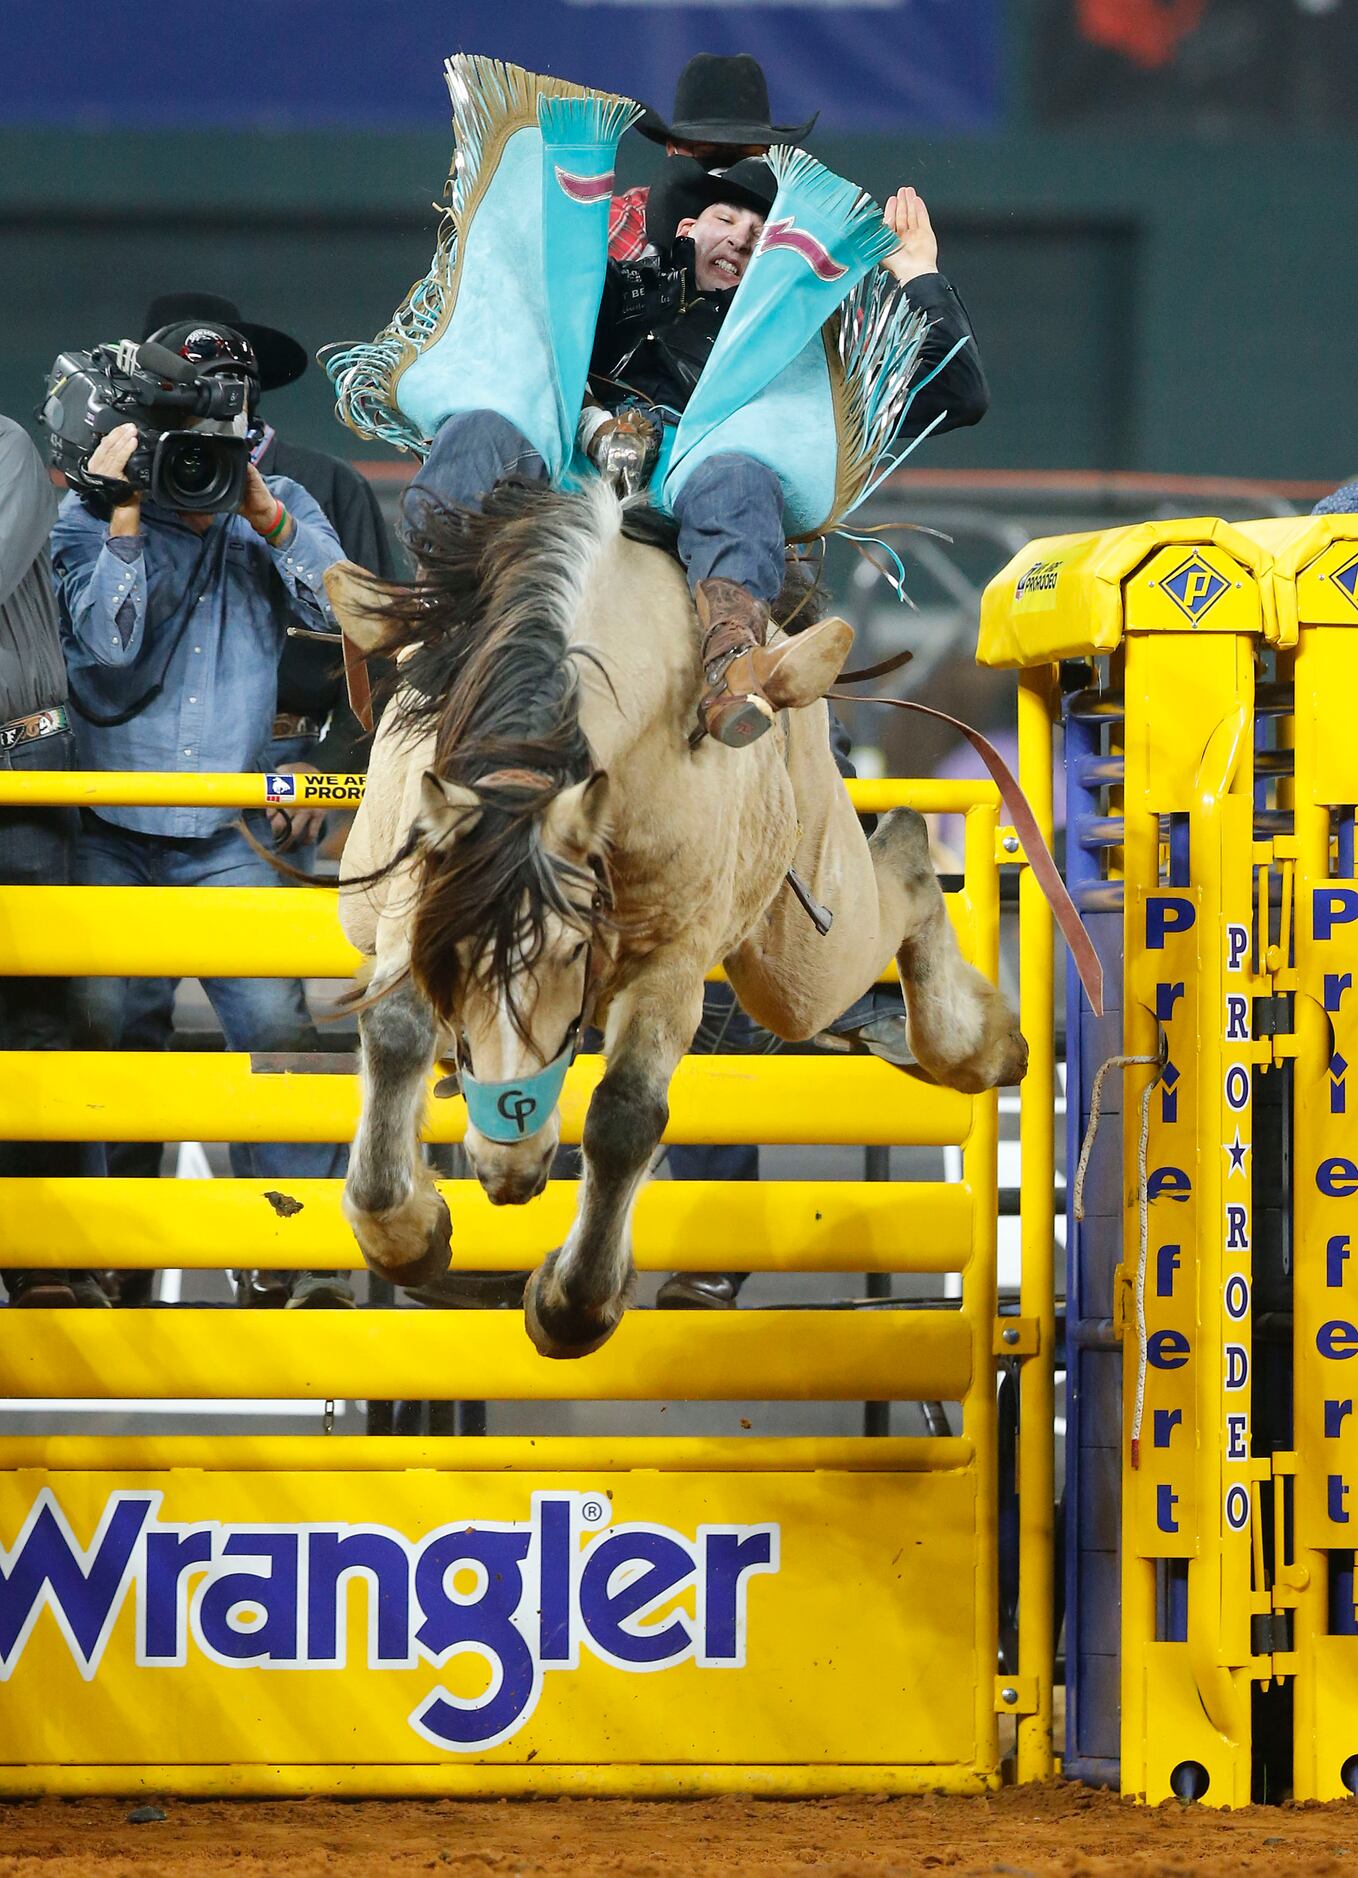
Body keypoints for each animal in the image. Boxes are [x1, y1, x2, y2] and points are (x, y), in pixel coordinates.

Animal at [328, 477, 1029, 1359]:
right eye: (454, 959)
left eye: (576, 951)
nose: (509, 1161)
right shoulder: (412, 912)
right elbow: (394, 1033)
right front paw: (407, 1233)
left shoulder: (671, 961)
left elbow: (626, 1116)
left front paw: (571, 1305)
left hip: (801, 943)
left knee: (899, 859)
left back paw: (977, 1043)